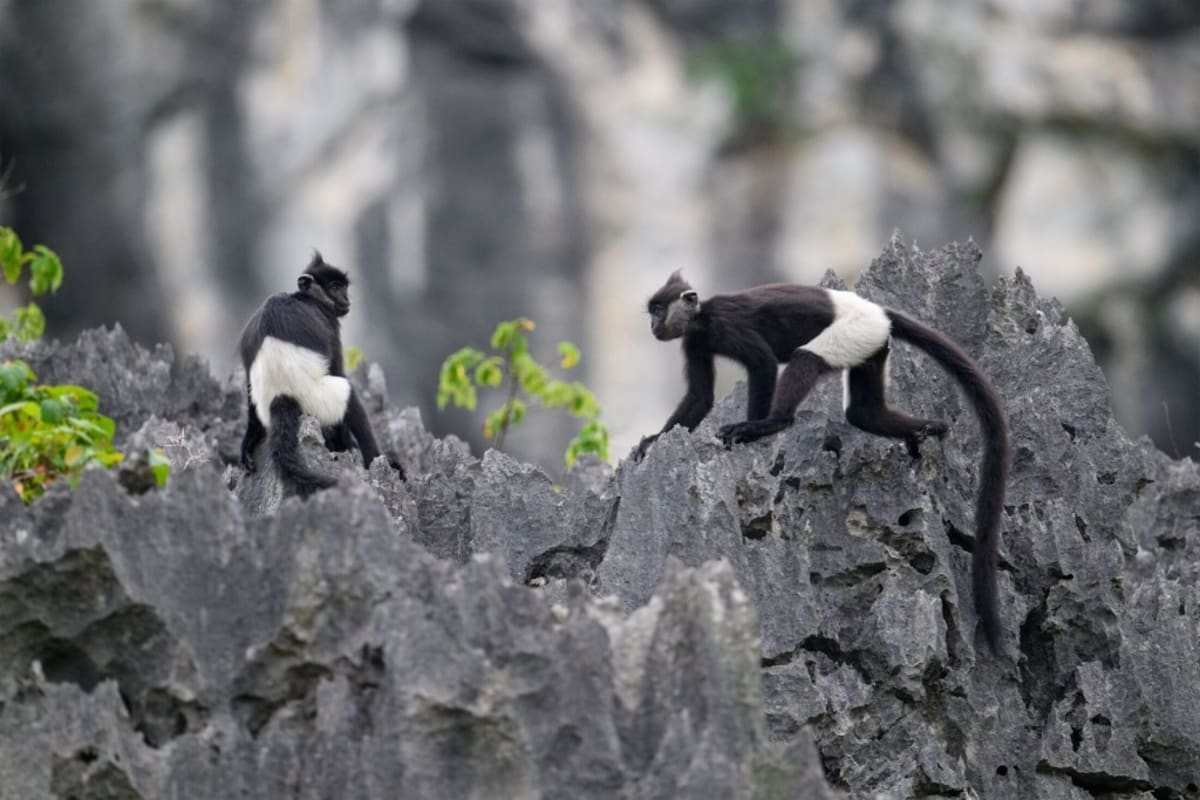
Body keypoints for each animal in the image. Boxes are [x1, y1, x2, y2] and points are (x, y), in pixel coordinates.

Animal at [238, 253, 400, 498]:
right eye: (334, 287)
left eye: (344, 287)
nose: (346, 299)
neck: (305, 298)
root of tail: (281, 396)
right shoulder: (329, 324)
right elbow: (337, 368)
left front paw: (248, 440)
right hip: (320, 401)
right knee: (350, 396)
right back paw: (373, 459)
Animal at [635, 271, 1010, 653]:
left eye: (658, 310)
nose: (653, 324)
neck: (702, 318)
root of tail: (875, 309)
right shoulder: (694, 342)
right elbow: (700, 397)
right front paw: (651, 443)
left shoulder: (726, 325)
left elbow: (762, 364)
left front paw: (753, 428)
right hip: (874, 343)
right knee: (862, 412)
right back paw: (929, 429)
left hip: (857, 330)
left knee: (807, 359)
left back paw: (775, 422)